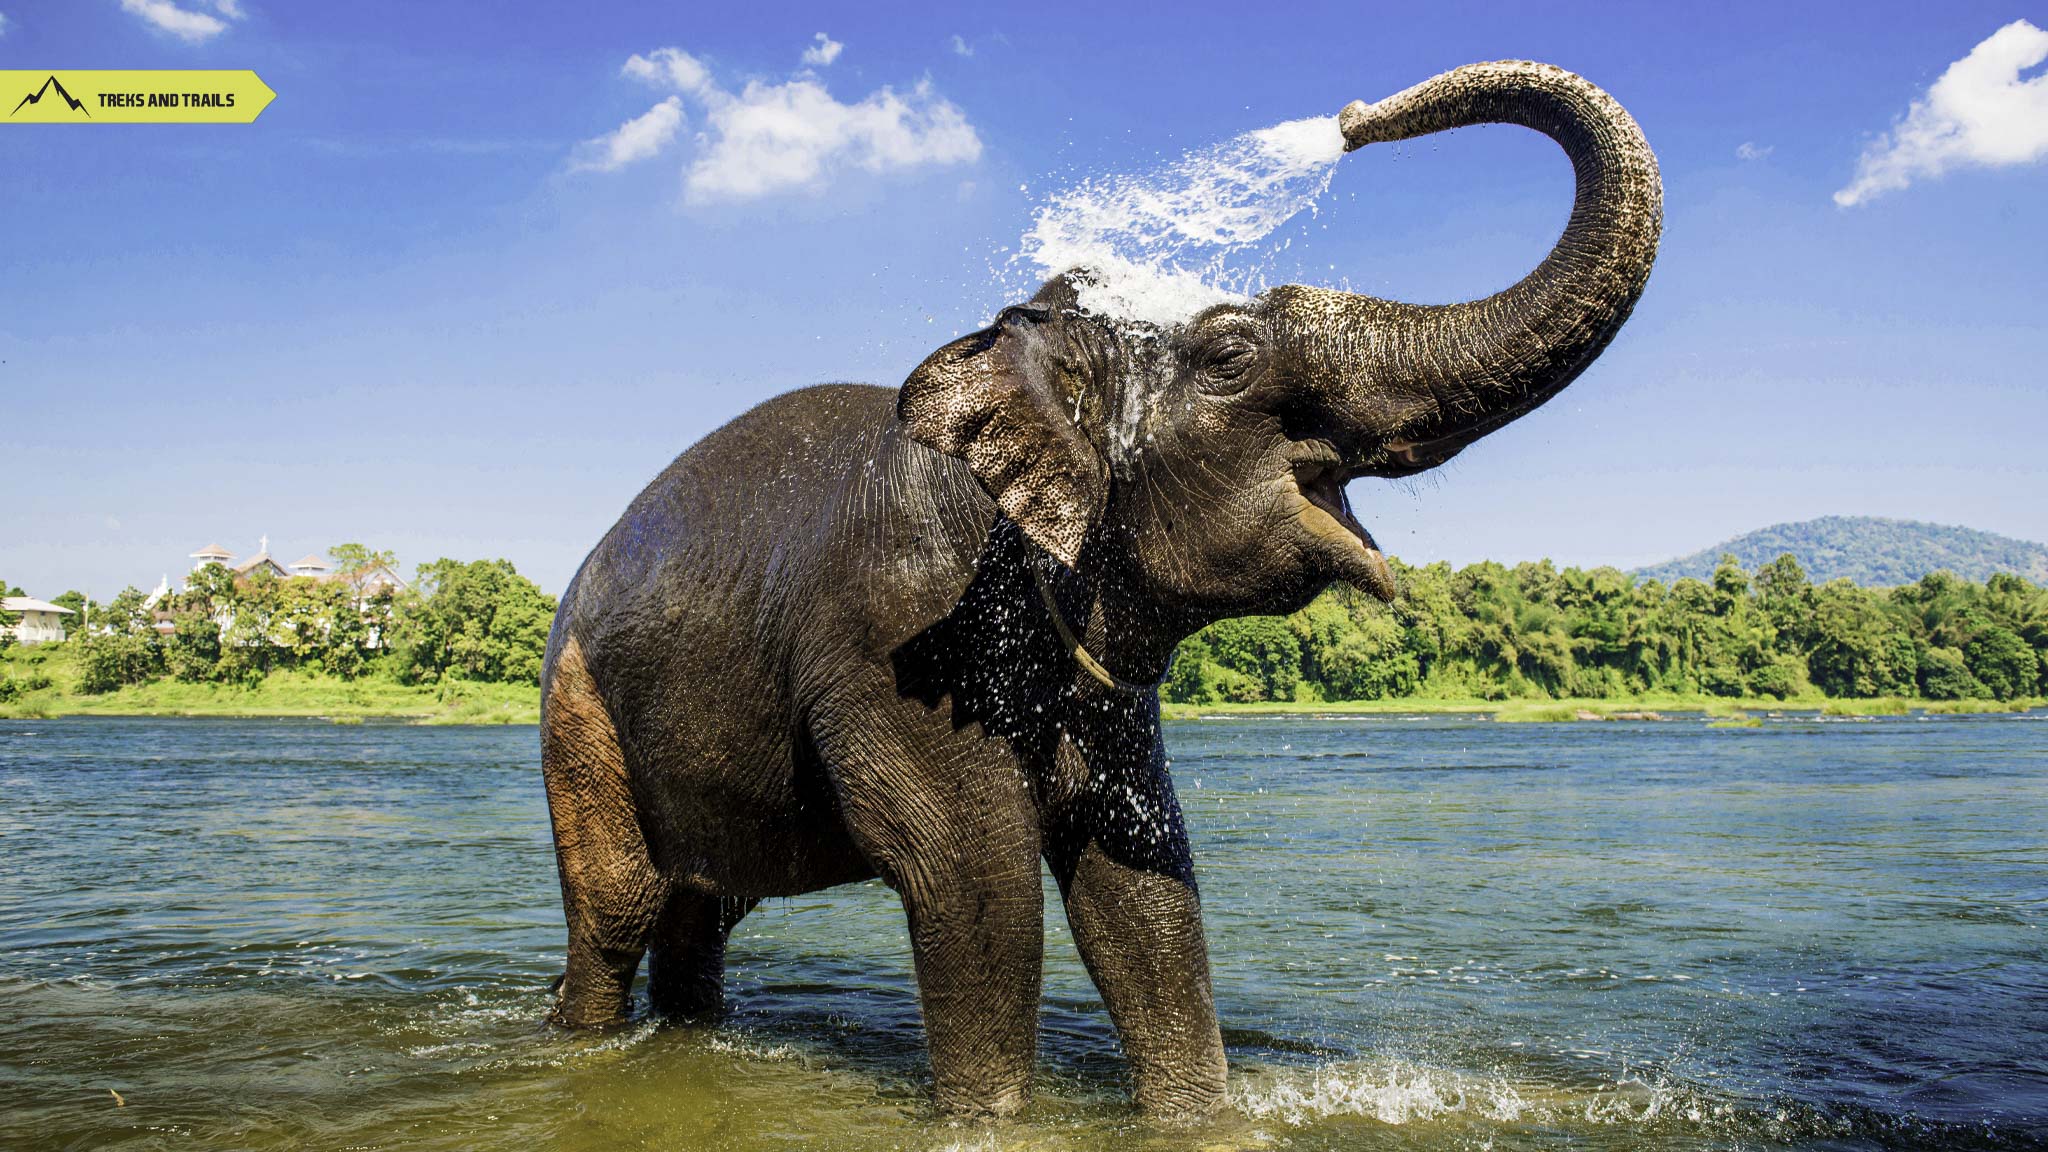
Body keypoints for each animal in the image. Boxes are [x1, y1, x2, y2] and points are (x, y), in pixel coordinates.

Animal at [540, 56, 1662, 1115]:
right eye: (1230, 353)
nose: (1351, 118)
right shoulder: (895, 637)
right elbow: (976, 883)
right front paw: (991, 1118)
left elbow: (1138, 883)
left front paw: (1197, 1114)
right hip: (575, 704)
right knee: (619, 909)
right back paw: (583, 1041)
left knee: (704, 908)